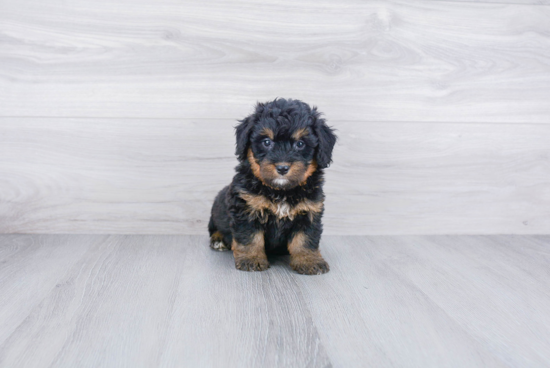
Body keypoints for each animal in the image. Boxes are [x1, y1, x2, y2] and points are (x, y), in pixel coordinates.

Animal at [208, 98, 336, 274]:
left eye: (300, 144)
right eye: (266, 142)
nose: (282, 168)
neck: (281, 191)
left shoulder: (309, 211)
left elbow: (305, 239)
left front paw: (309, 260)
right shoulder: (246, 209)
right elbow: (249, 237)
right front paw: (252, 259)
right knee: (215, 228)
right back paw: (218, 239)